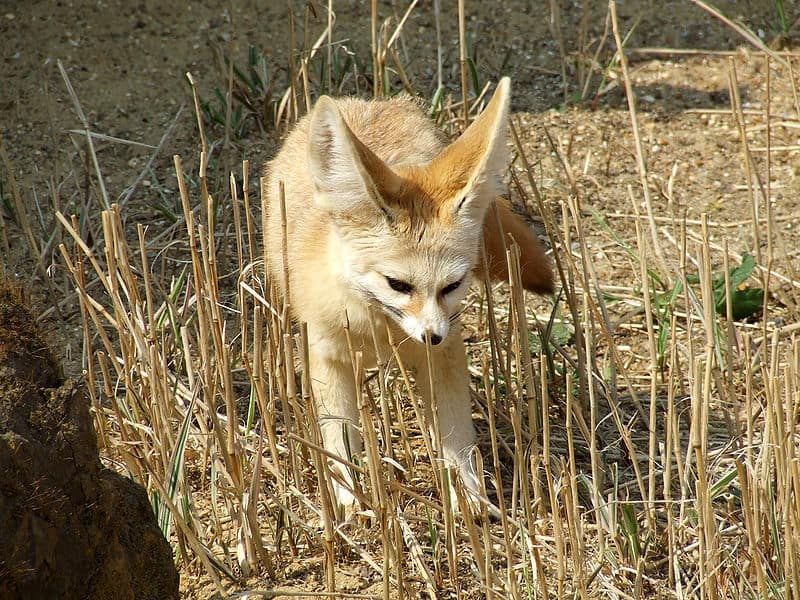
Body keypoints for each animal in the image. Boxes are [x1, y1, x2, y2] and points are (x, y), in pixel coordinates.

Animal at [266, 78, 552, 516]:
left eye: (452, 285)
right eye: (397, 284)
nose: (431, 335)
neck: (380, 329)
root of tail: (369, 101)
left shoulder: (445, 354)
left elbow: (457, 439)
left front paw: (469, 500)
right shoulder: (327, 353)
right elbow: (339, 441)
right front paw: (350, 501)